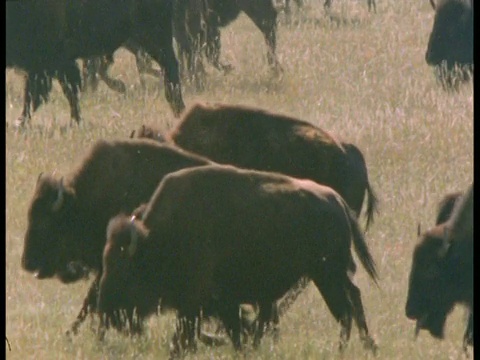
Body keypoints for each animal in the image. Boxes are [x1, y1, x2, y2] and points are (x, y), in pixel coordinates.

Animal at [6, 0, 185, 127]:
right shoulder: (49, 64)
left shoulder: (52, 61)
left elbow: (45, 91)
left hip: (154, 37)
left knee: (170, 67)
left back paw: (178, 108)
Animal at [97, 164, 380, 358]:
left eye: (124, 271)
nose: (104, 308)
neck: (162, 237)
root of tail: (336, 200)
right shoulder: (218, 304)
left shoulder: (201, 303)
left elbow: (191, 337)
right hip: (331, 275)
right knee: (353, 301)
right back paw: (367, 346)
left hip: (327, 275)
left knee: (345, 311)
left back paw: (344, 350)